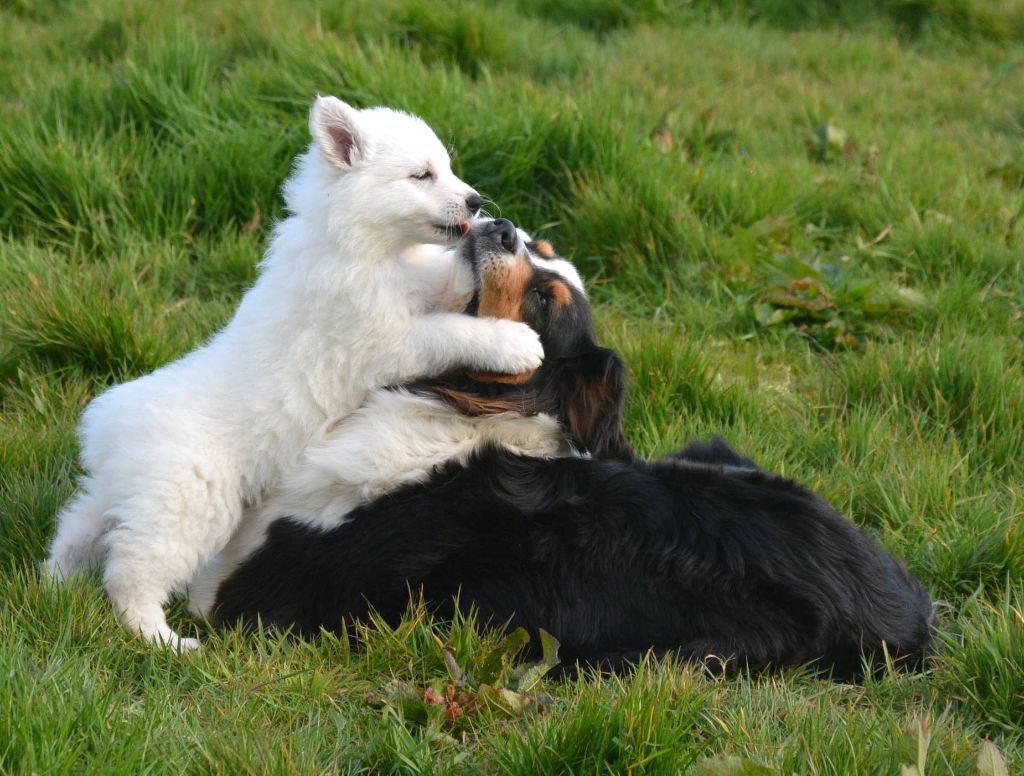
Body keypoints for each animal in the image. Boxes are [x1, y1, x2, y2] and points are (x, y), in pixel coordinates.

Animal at [46, 100, 544, 655]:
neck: (360, 246)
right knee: (131, 572)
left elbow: (444, 280)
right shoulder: (384, 340)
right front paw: (514, 343)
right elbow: (450, 331)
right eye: (422, 175)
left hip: (125, 495)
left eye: (447, 168)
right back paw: (162, 639)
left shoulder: (413, 290)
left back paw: (55, 583)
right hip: (191, 505)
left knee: (82, 526)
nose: (477, 202)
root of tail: (109, 432)